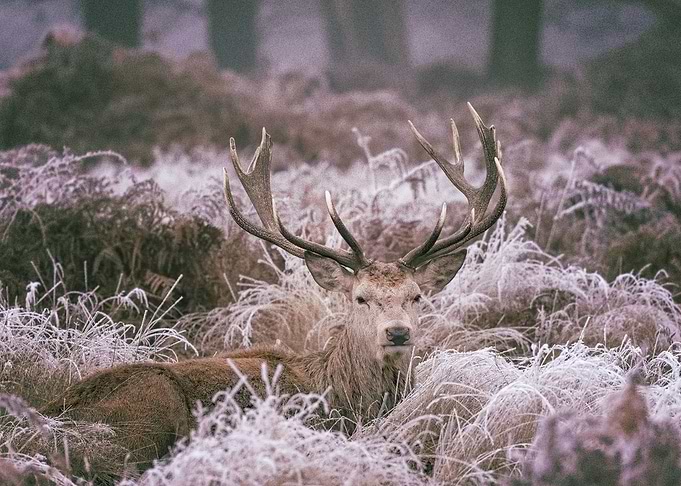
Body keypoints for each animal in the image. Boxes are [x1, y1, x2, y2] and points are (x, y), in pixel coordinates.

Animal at [41, 103, 507, 472]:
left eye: (416, 296)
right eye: (360, 298)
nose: (397, 332)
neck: (342, 396)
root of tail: (47, 420)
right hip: (148, 412)